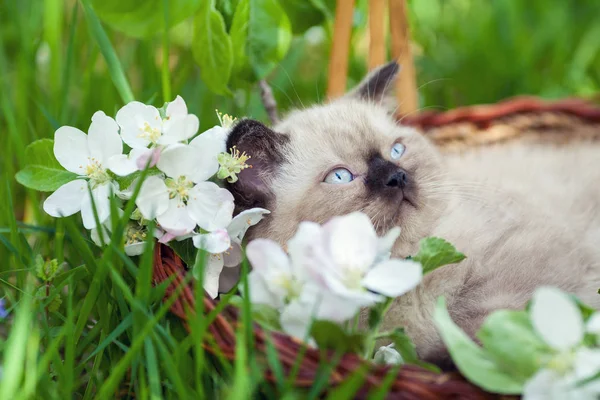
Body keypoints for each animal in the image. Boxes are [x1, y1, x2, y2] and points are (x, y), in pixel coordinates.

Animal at [221, 62, 600, 366]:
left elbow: (495, 326)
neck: (404, 268)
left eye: (397, 150)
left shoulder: (518, 268)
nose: (397, 177)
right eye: (340, 177)